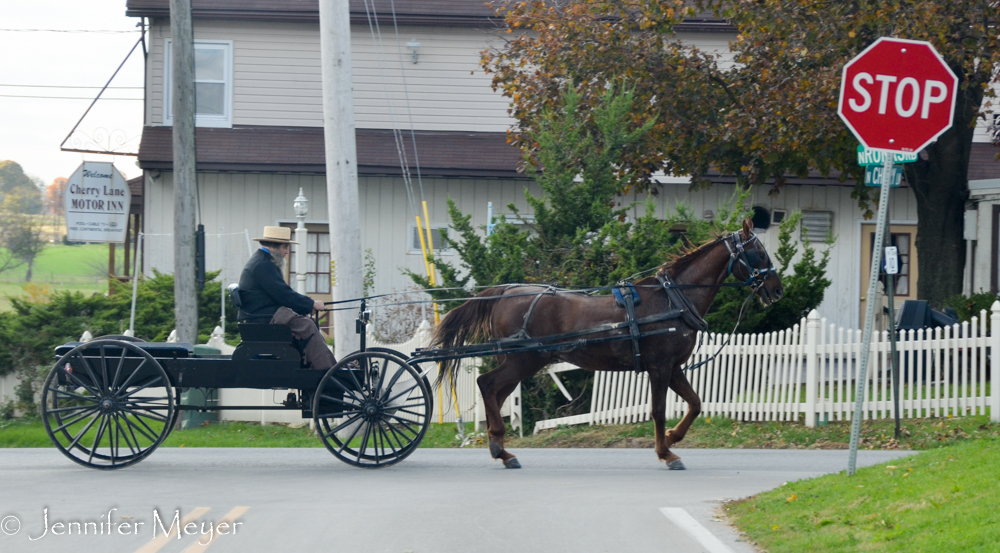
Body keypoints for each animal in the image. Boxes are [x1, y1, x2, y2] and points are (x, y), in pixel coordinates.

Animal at [434, 218, 784, 468]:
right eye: (759, 253)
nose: (777, 290)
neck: (673, 299)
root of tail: (505, 291)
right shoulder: (659, 367)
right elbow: (658, 410)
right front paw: (666, 453)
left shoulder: (674, 368)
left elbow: (695, 403)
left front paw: (673, 438)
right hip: (525, 360)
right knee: (487, 384)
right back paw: (500, 448)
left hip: (519, 361)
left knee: (494, 391)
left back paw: (500, 447)